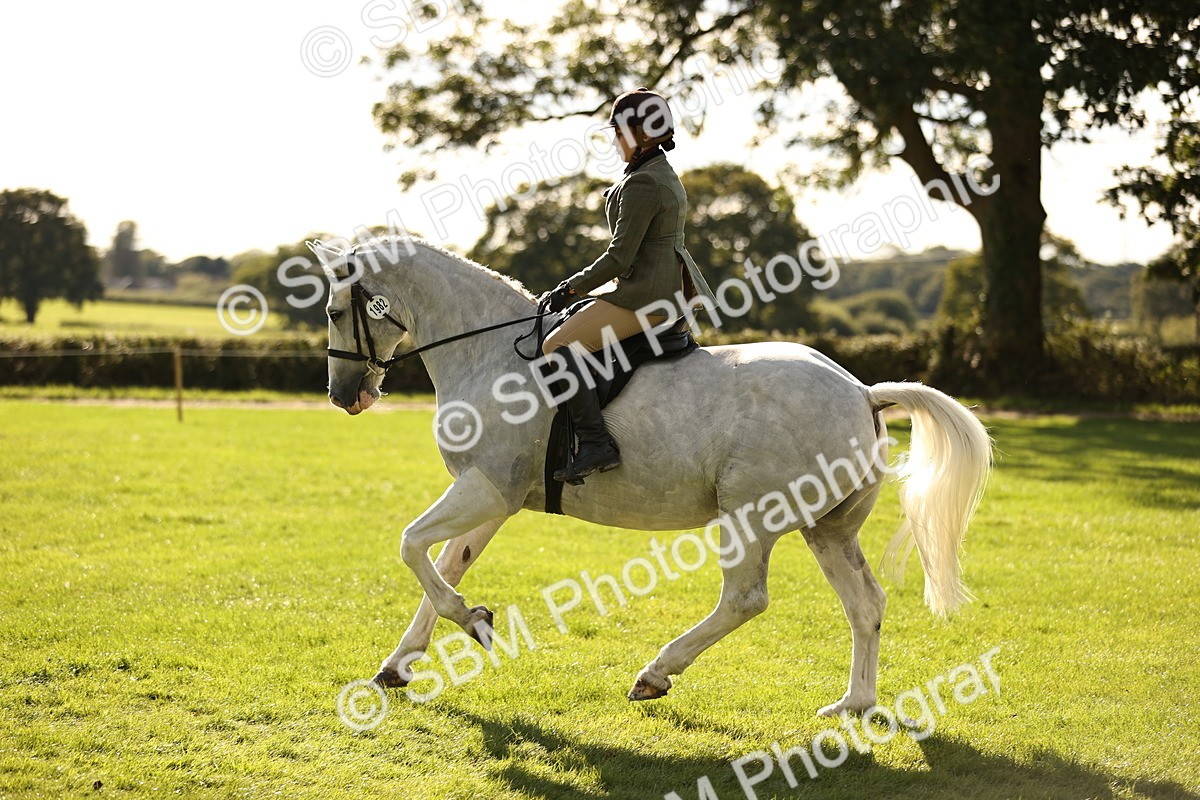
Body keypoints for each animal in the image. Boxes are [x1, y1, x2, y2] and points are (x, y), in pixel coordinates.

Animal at [313, 237, 991, 716]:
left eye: (334, 311)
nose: (345, 396)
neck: (490, 354)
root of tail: (862, 391)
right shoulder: (497, 496)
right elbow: (446, 563)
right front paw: (402, 663)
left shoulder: (486, 487)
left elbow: (412, 546)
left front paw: (473, 622)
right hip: (828, 529)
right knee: (864, 604)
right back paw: (854, 703)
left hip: (751, 515)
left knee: (744, 599)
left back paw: (654, 674)